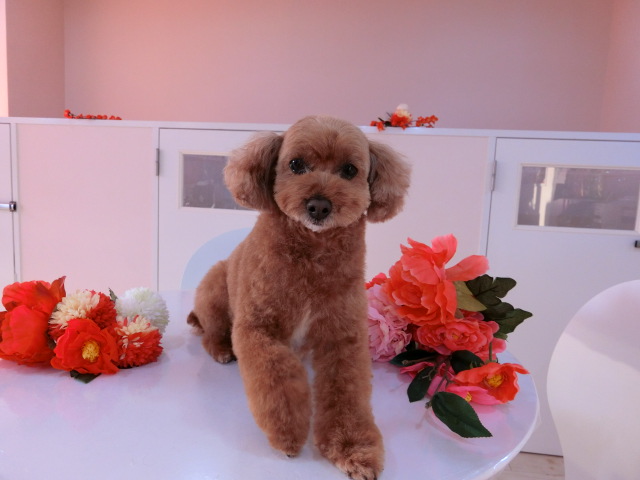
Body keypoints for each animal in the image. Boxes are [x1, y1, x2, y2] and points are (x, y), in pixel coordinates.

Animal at [187, 115, 410, 480]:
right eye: (295, 164)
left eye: (350, 170)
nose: (319, 205)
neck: (312, 257)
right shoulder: (256, 328)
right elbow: (277, 379)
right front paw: (288, 435)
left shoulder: (343, 338)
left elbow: (347, 395)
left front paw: (354, 450)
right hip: (214, 288)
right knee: (211, 331)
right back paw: (220, 349)